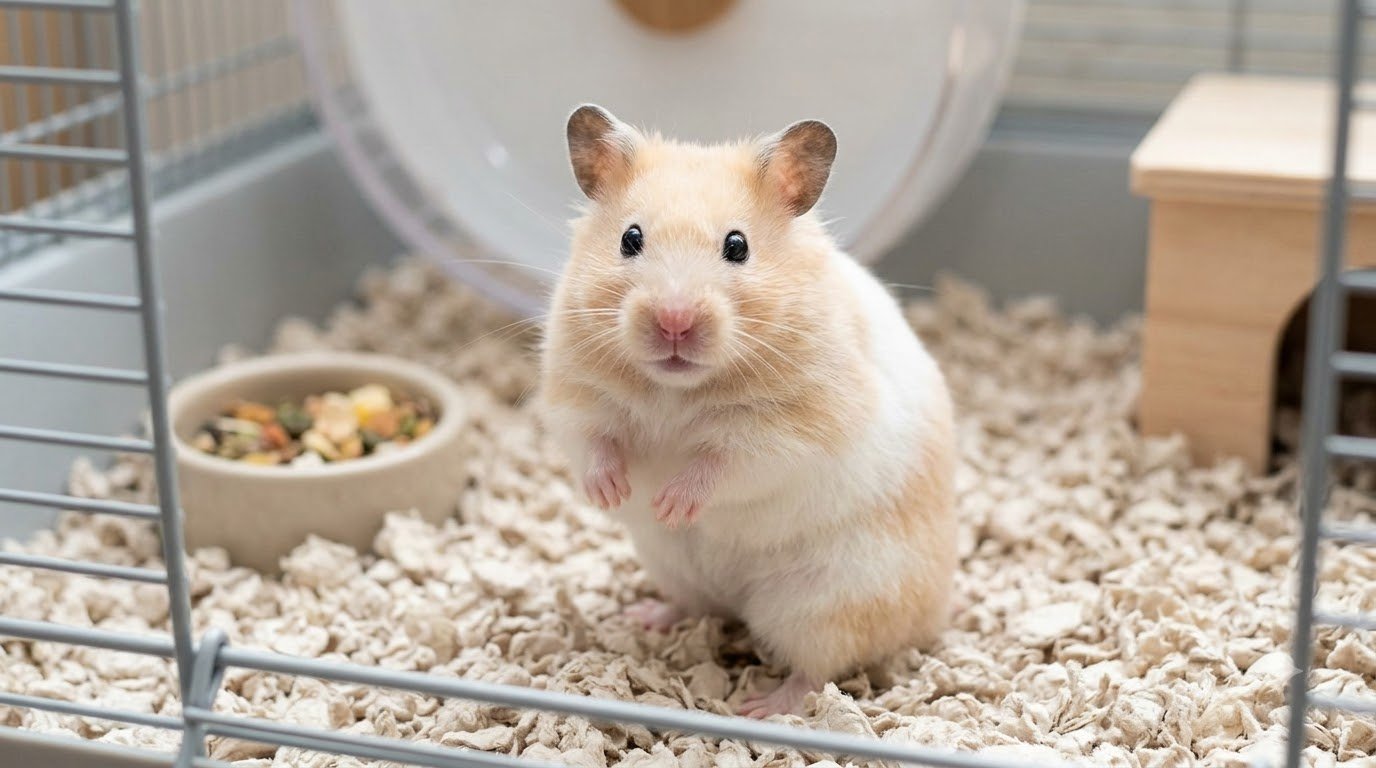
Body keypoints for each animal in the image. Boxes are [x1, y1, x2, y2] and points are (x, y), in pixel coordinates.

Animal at [539, 105, 957, 718]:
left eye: (737, 246)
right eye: (629, 239)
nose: (674, 321)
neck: (675, 389)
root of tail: (934, 615)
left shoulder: (788, 432)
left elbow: (722, 465)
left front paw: (670, 504)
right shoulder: (574, 395)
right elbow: (595, 442)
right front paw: (611, 494)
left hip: (823, 605)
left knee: (819, 670)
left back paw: (763, 707)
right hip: (671, 566)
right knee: (699, 607)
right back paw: (645, 617)